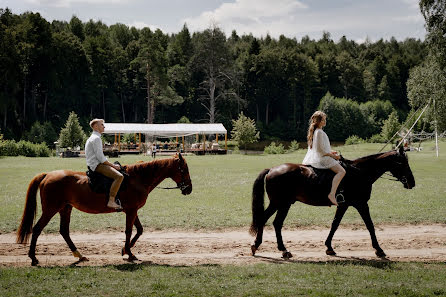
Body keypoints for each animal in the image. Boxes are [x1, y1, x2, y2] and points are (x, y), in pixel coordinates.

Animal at [16, 153, 191, 264]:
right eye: (184, 169)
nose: (189, 189)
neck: (137, 179)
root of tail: (47, 175)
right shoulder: (131, 211)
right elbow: (129, 231)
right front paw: (129, 253)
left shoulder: (132, 210)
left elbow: (139, 230)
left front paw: (125, 250)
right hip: (51, 209)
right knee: (37, 229)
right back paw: (33, 258)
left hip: (65, 209)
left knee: (64, 231)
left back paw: (79, 255)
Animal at [251, 147, 414, 258]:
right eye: (403, 163)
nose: (412, 182)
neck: (359, 173)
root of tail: (272, 169)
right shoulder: (361, 204)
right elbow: (370, 226)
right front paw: (379, 249)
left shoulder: (344, 205)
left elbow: (335, 224)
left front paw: (329, 247)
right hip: (279, 203)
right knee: (265, 220)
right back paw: (259, 246)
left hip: (284, 204)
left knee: (275, 223)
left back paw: (281, 249)